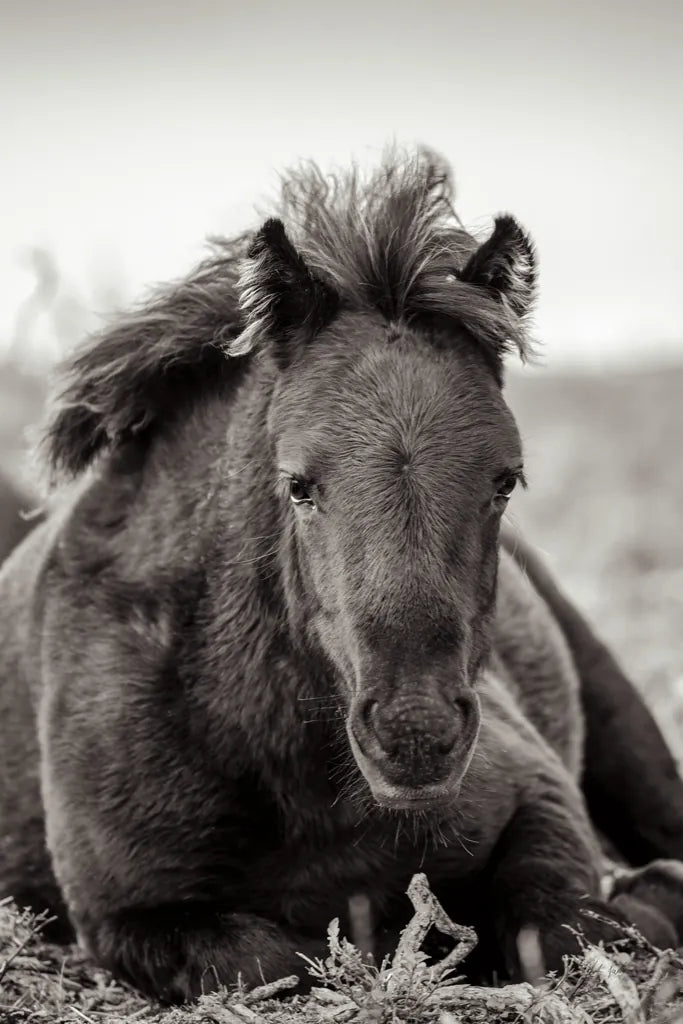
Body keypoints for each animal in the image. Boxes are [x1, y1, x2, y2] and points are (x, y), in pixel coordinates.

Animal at [1, 149, 683, 1003]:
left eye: (505, 480)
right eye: (299, 485)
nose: (415, 735)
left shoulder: (538, 794)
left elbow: (555, 933)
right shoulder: (129, 916)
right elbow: (275, 958)